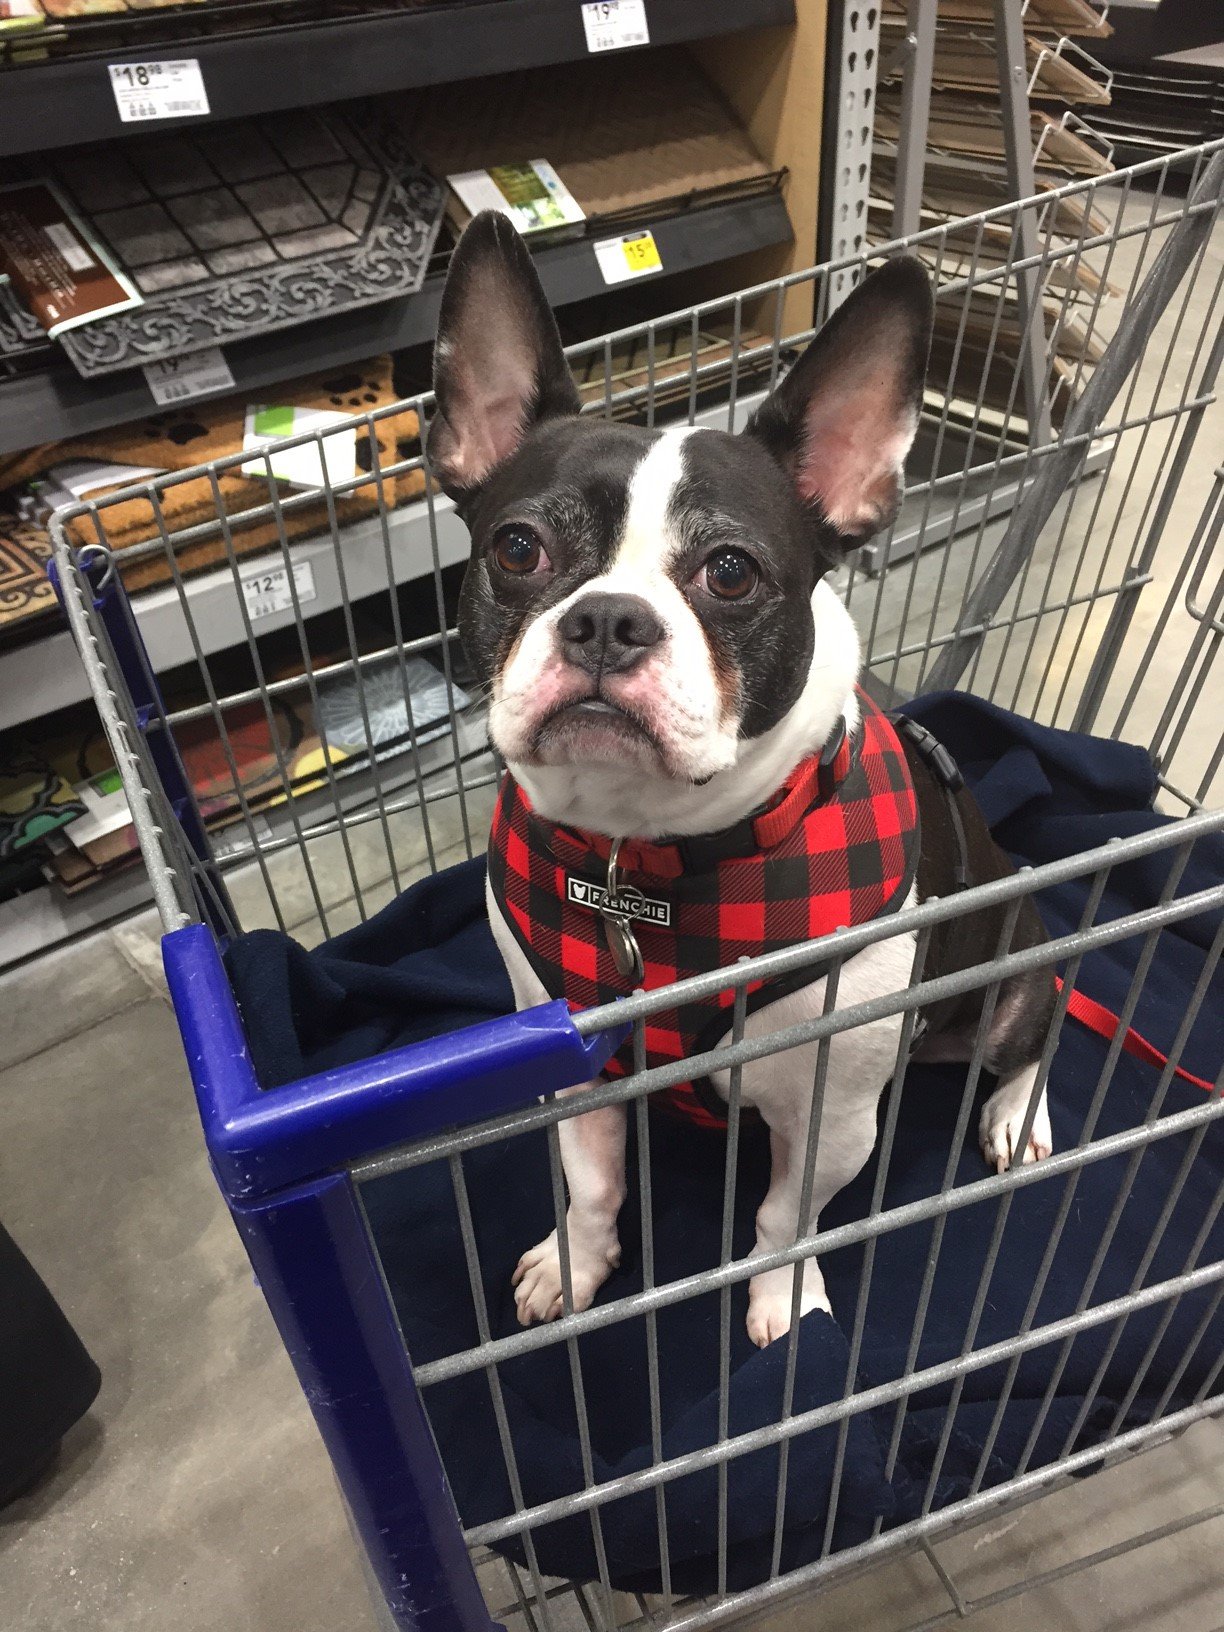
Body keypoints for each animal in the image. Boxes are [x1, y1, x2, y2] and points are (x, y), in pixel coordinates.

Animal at [427, 210, 1057, 1344]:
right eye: (517, 548)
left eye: (731, 572)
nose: (607, 619)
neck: (643, 858)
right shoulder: (577, 1072)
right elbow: (593, 1183)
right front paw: (575, 1266)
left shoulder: (832, 1108)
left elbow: (781, 1216)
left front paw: (782, 1303)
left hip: (1011, 962)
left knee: (1042, 1023)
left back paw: (1015, 1117)